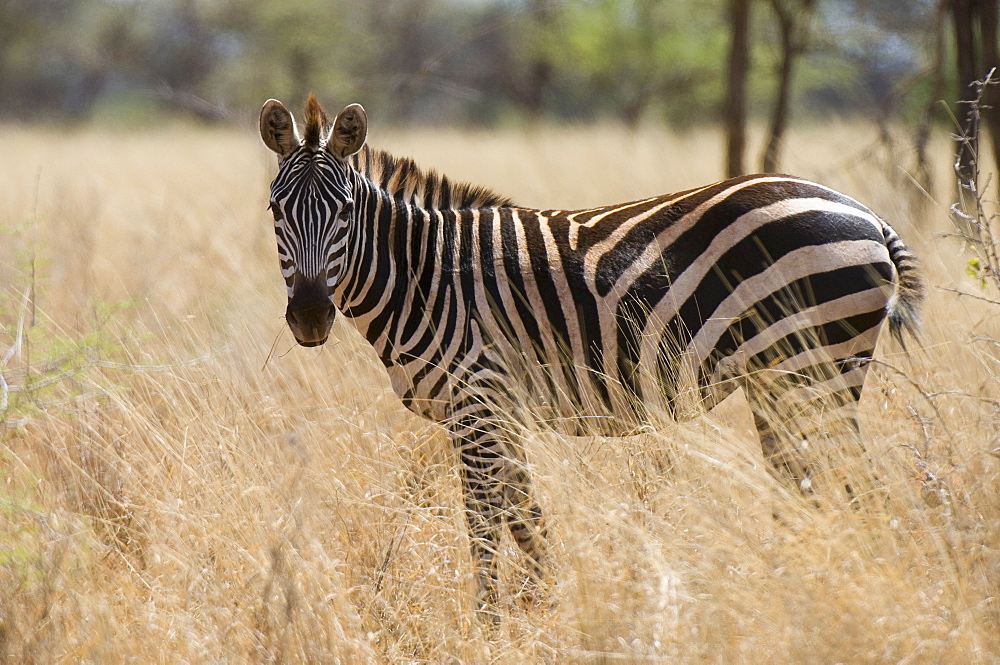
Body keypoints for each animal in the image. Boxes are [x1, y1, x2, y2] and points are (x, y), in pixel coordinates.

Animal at [256, 94, 920, 616]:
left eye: (345, 212)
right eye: (275, 210)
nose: (310, 317)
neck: (425, 275)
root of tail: (865, 213)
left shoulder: (476, 402)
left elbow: (484, 523)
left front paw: (490, 624)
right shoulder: (498, 411)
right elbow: (527, 518)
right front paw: (551, 608)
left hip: (814, 370)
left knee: (858, 486)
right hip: (783, 380)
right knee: (805, 485)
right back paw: (792, 584)